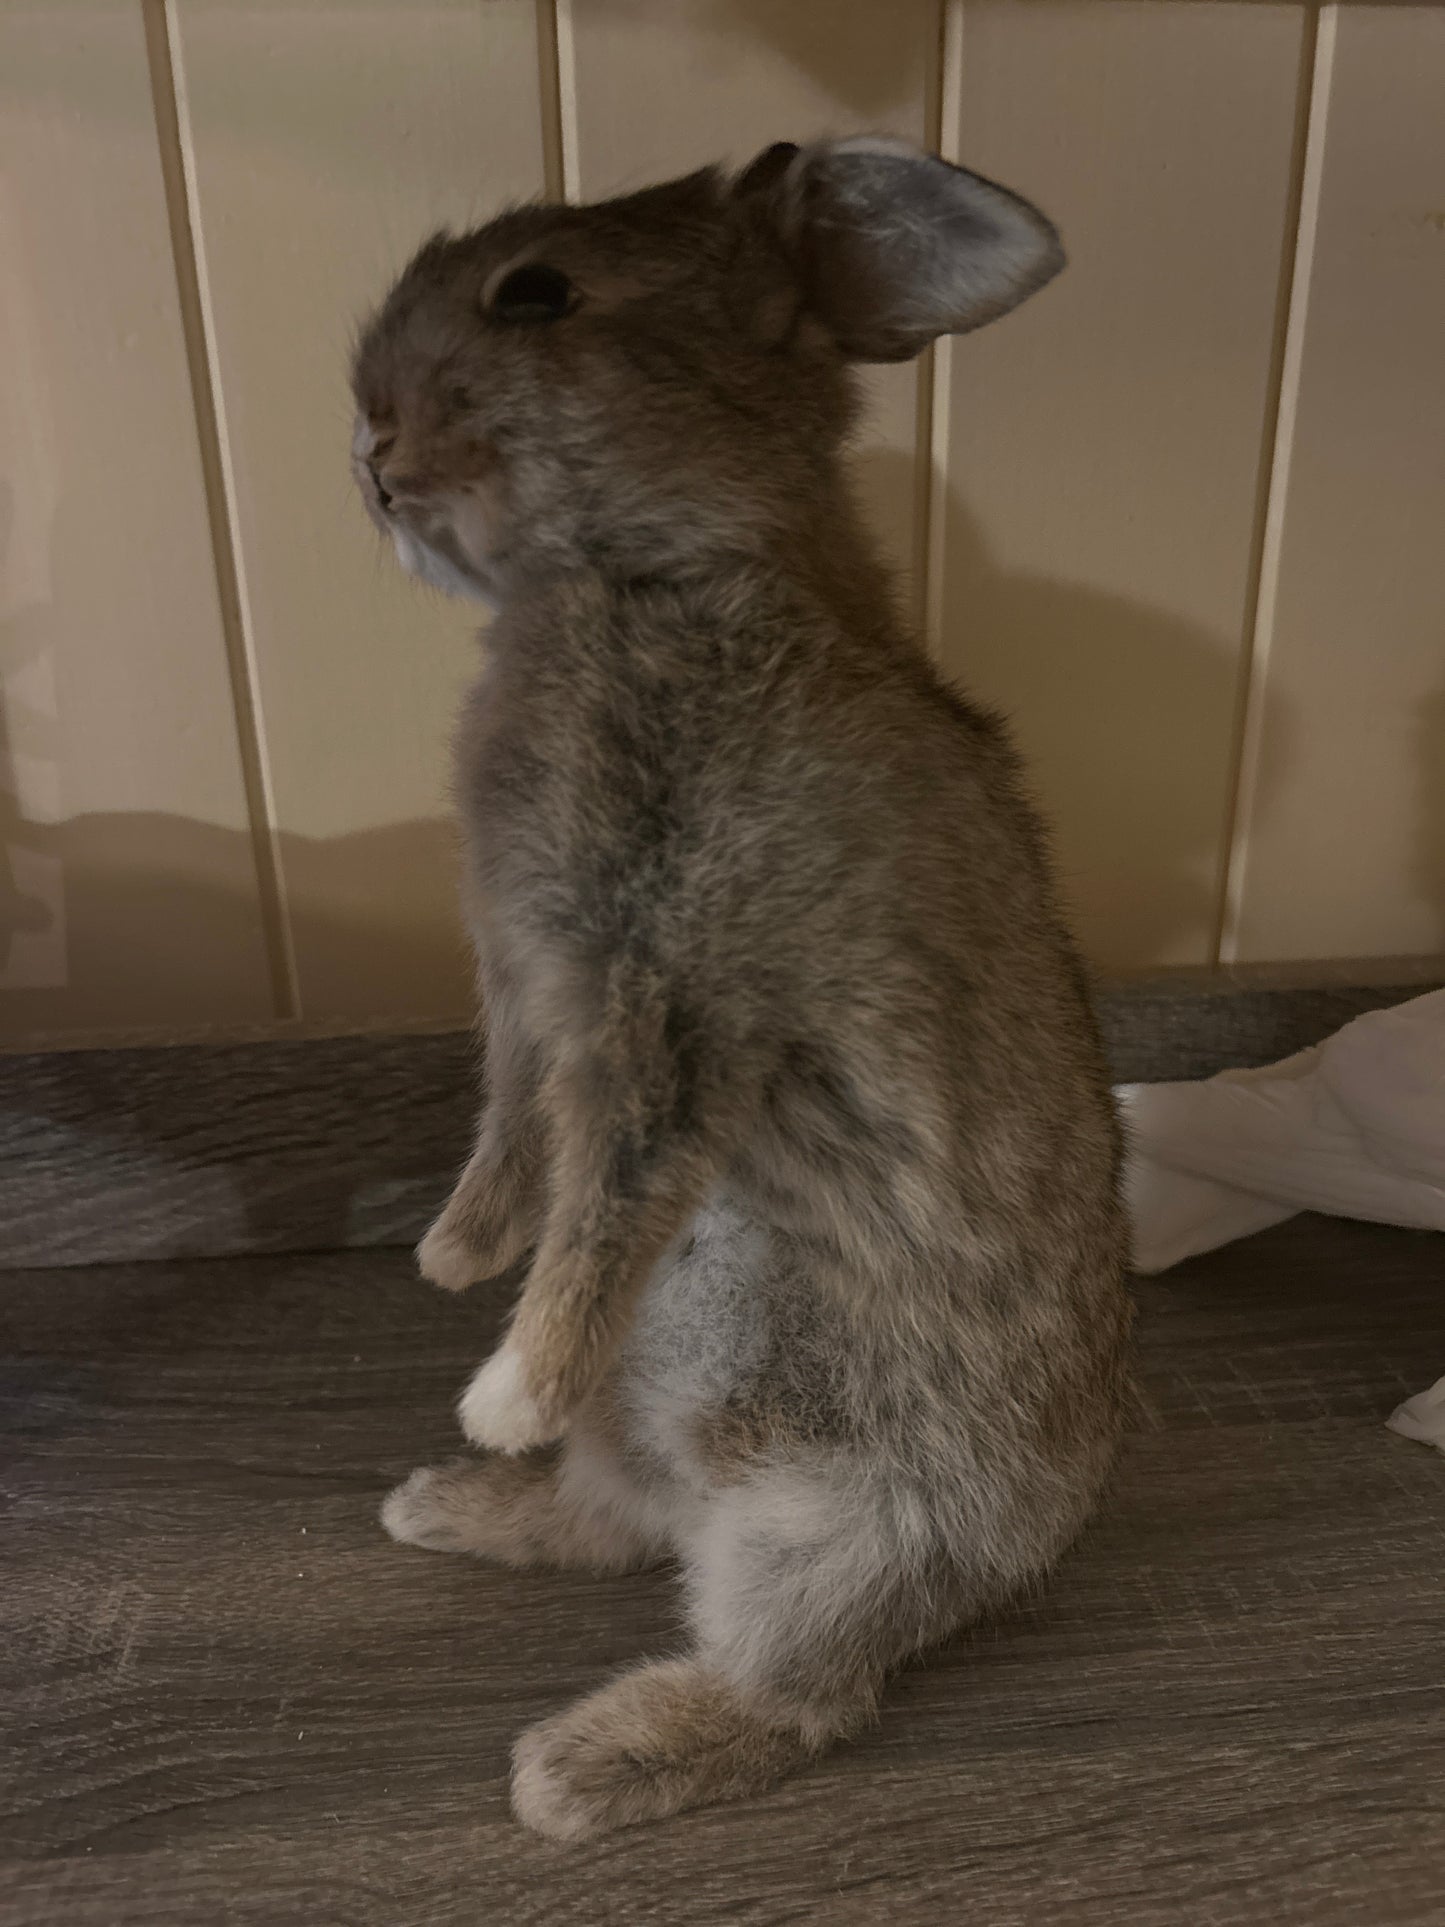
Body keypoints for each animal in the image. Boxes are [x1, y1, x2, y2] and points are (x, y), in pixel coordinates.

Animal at [350, 128, 1132, 1842]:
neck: (654, 569)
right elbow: (515, 1127)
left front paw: (502, 1381)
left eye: (536, 294)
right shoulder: (531, 983)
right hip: (678, 1453)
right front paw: (452, 1261)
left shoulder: (677, 996)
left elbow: (614, 1191)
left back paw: (577, 1763)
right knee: (614, 1526)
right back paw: (451, 1507)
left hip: (836, 1535)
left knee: (802, 1692)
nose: (365, 440)